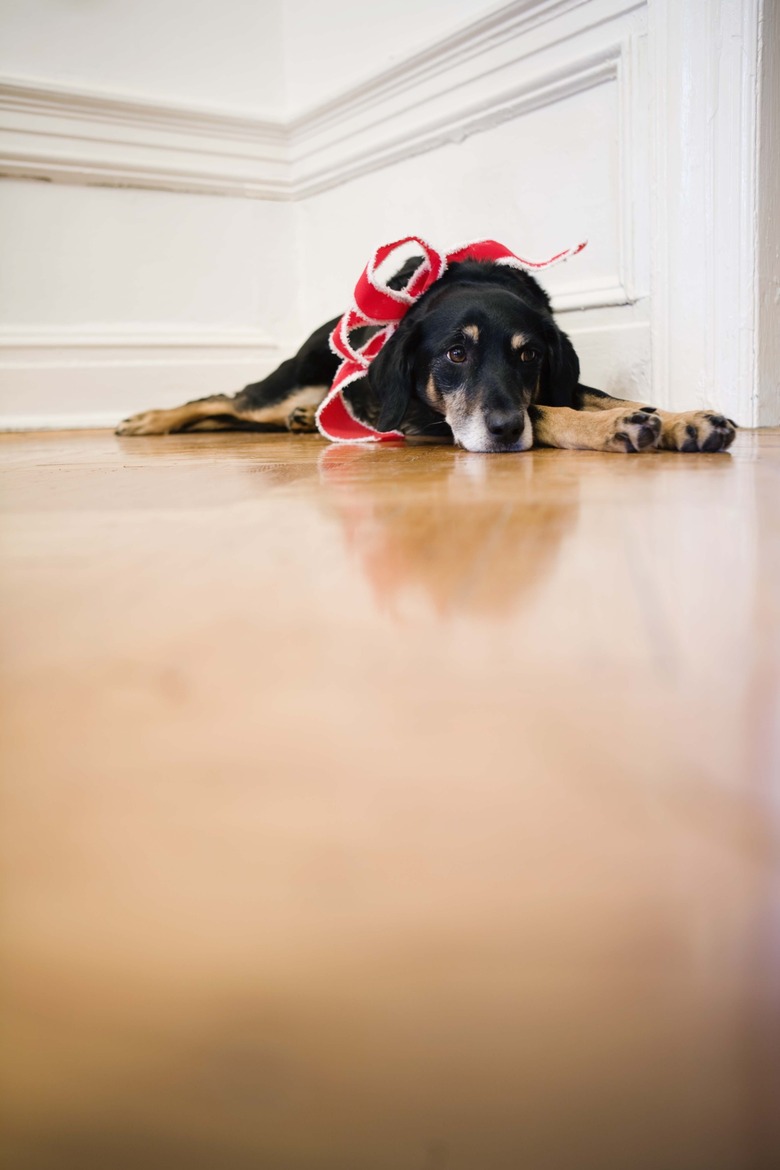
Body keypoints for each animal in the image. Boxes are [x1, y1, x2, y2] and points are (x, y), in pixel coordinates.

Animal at [114, 258, 739, 453]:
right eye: (455, 353)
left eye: (530, 356)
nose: (504, 430)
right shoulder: (429, 419)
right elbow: (546, 412)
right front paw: (618, 427)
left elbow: (600, 395)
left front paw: (683, 420)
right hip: (282, 384)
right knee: (224, 398)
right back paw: (148, 420)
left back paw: (301, 421)